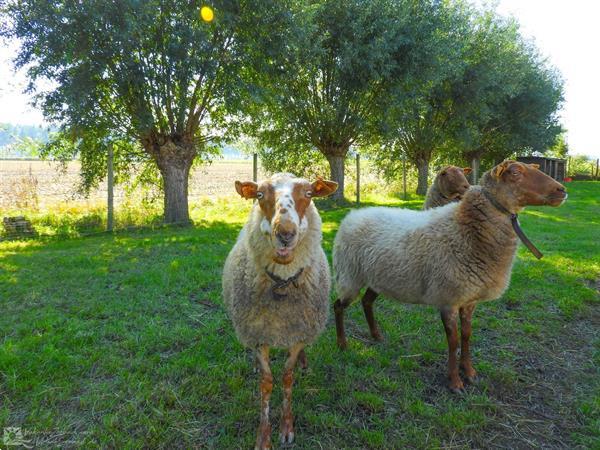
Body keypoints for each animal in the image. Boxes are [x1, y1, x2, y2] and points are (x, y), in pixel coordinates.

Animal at [332, 160, 568, 392]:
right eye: (516, 173)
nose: (562, 190)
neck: (463, 228)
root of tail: (353, 215)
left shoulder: (469, 299)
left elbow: (467, 335)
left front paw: (470, 372)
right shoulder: (448, 298)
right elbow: (453, 341)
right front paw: (455, 382)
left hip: (378, 278)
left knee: (367, 301)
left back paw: (377, 336)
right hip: (350, 275)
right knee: (338, 306)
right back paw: (342, 344)